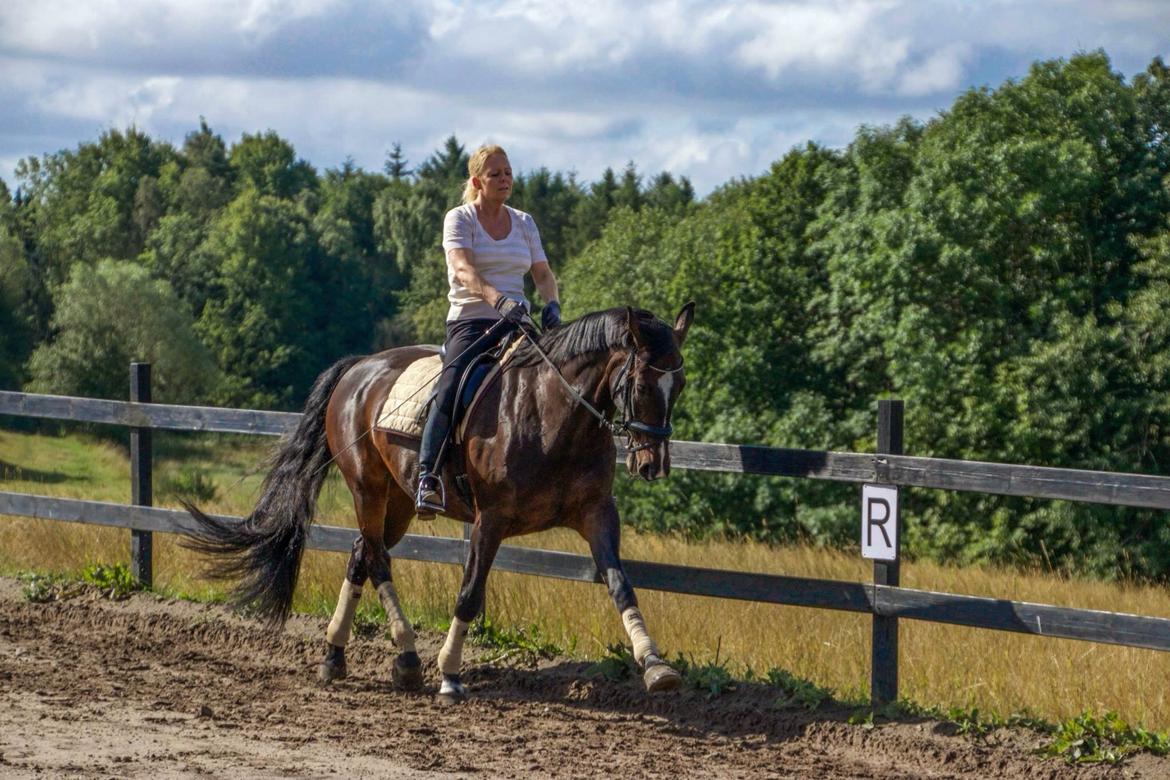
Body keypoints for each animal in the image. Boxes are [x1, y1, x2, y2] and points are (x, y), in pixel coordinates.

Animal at [186, 304, 687, 701]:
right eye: (642, 384)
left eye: (678, 386)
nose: (653, 465)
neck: (551, 415)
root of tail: (359, 367)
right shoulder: (491, 519)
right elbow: (469, 594)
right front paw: (449, 674)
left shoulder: (597, 513)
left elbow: (621, 585)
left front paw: (656, 667)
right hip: (367, 488)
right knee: (377, 559)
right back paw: (407, 658)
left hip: (399, 502)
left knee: (361, 553)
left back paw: (335, 655)